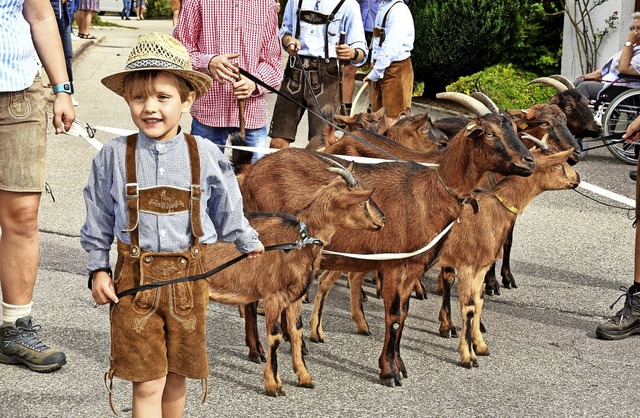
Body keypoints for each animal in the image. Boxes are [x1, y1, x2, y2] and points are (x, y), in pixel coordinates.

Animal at [208, 163, 384, 396]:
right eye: (363, 201)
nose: (383, 220)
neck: (297, 240)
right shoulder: (273, 297)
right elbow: (274, 336)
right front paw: (273, 384)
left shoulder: (294, 299)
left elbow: (296, 331)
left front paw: (304, 376)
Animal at [235, 108, 536, 388]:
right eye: (489, 133)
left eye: (514, 129)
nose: (529, 161)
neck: (431, 192)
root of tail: (250, 173)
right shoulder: (394, 266)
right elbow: (392, 317)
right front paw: (389, 372)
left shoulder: (413, 268)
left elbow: (403, 314)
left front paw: (400, 366)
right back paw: (257, 350)